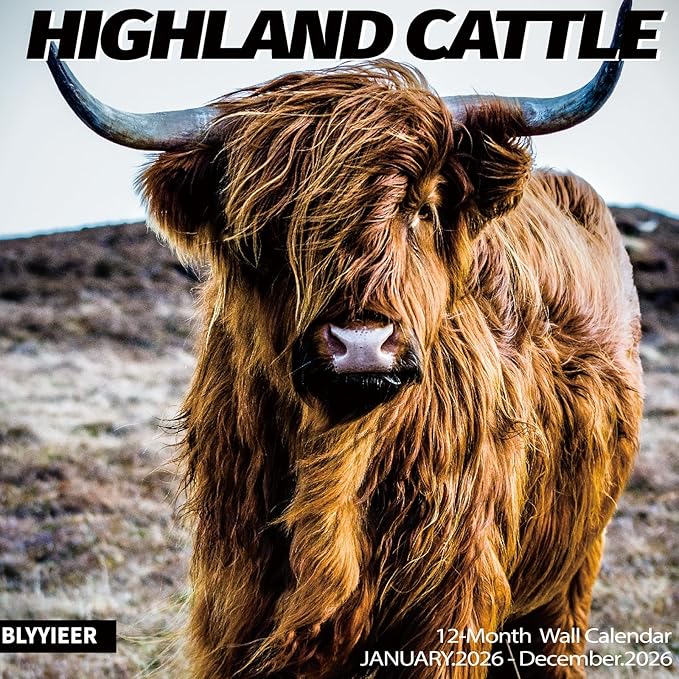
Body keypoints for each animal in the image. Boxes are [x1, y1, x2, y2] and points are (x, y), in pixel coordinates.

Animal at [46, 1, 642, 677]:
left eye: (421, 208)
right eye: (271, 226)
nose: (361, 342)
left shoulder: (450, 606)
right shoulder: (234, 599)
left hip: (572, 573)